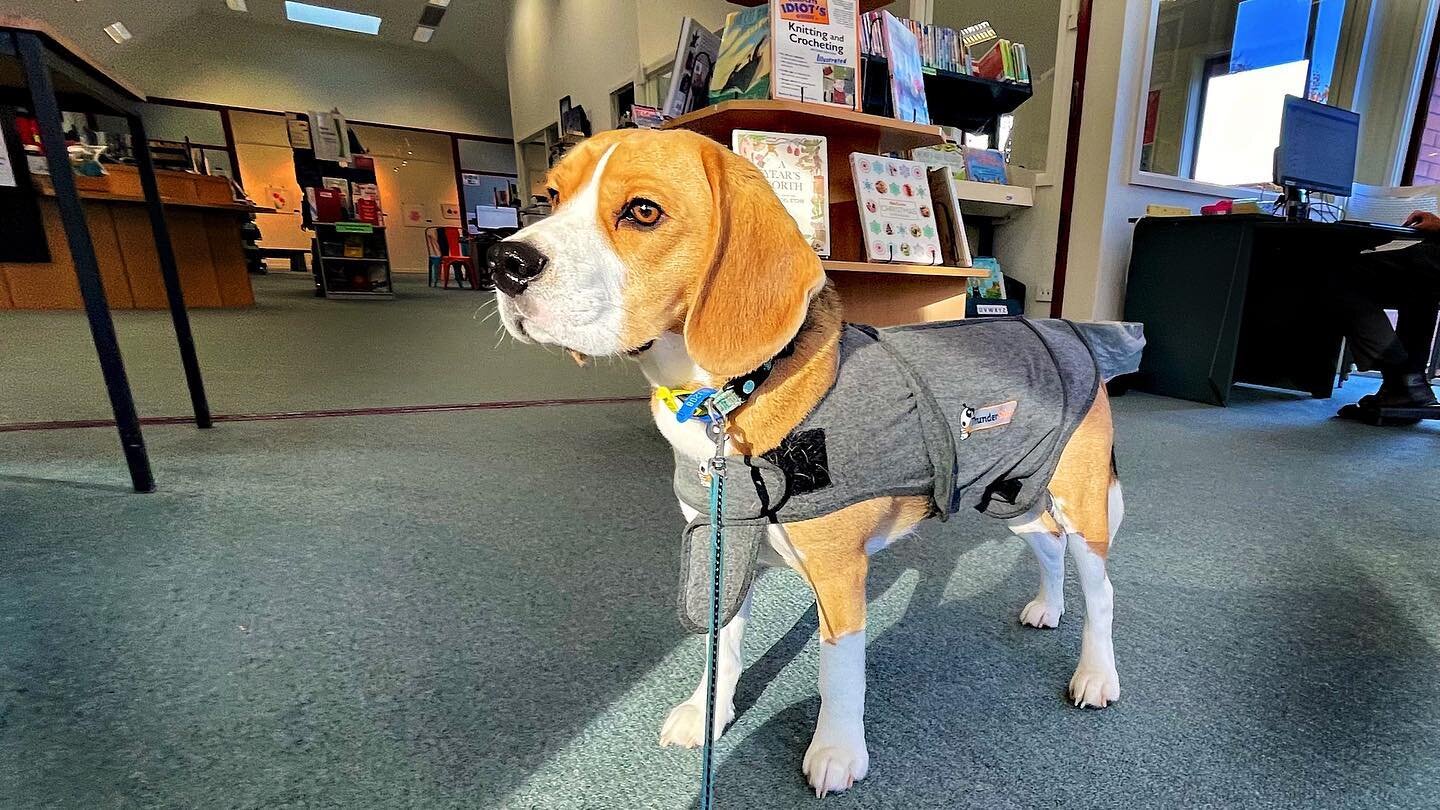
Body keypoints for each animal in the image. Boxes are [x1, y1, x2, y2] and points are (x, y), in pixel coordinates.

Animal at [495, 127, 1123, 795]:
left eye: (643, 212)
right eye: (551, 197)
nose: (505, 262)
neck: (725, 401)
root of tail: (1066, 330)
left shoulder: (840, 575)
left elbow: (838, 672)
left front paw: (838, 751)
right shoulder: (724, 548)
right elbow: (722, 645)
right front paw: (707, 712)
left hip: (1082, 503)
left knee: (1101, 590)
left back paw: (1096, 675)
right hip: (1013, 494)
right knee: (1048, 543)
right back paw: (1048, 607)